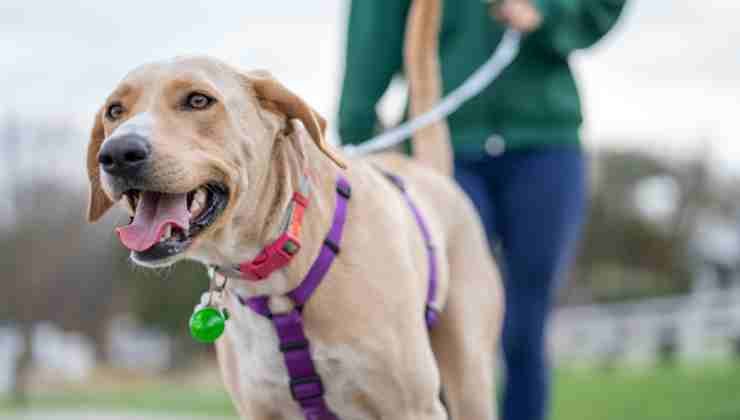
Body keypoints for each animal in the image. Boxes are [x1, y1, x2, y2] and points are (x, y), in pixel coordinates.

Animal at [85, 1, 502, 418]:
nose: (117, 154)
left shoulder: (413, 406)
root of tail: (430, 173)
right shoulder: (261, 409)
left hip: (470, 379)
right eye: (115, 110)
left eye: (199, 100)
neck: (276, 272)